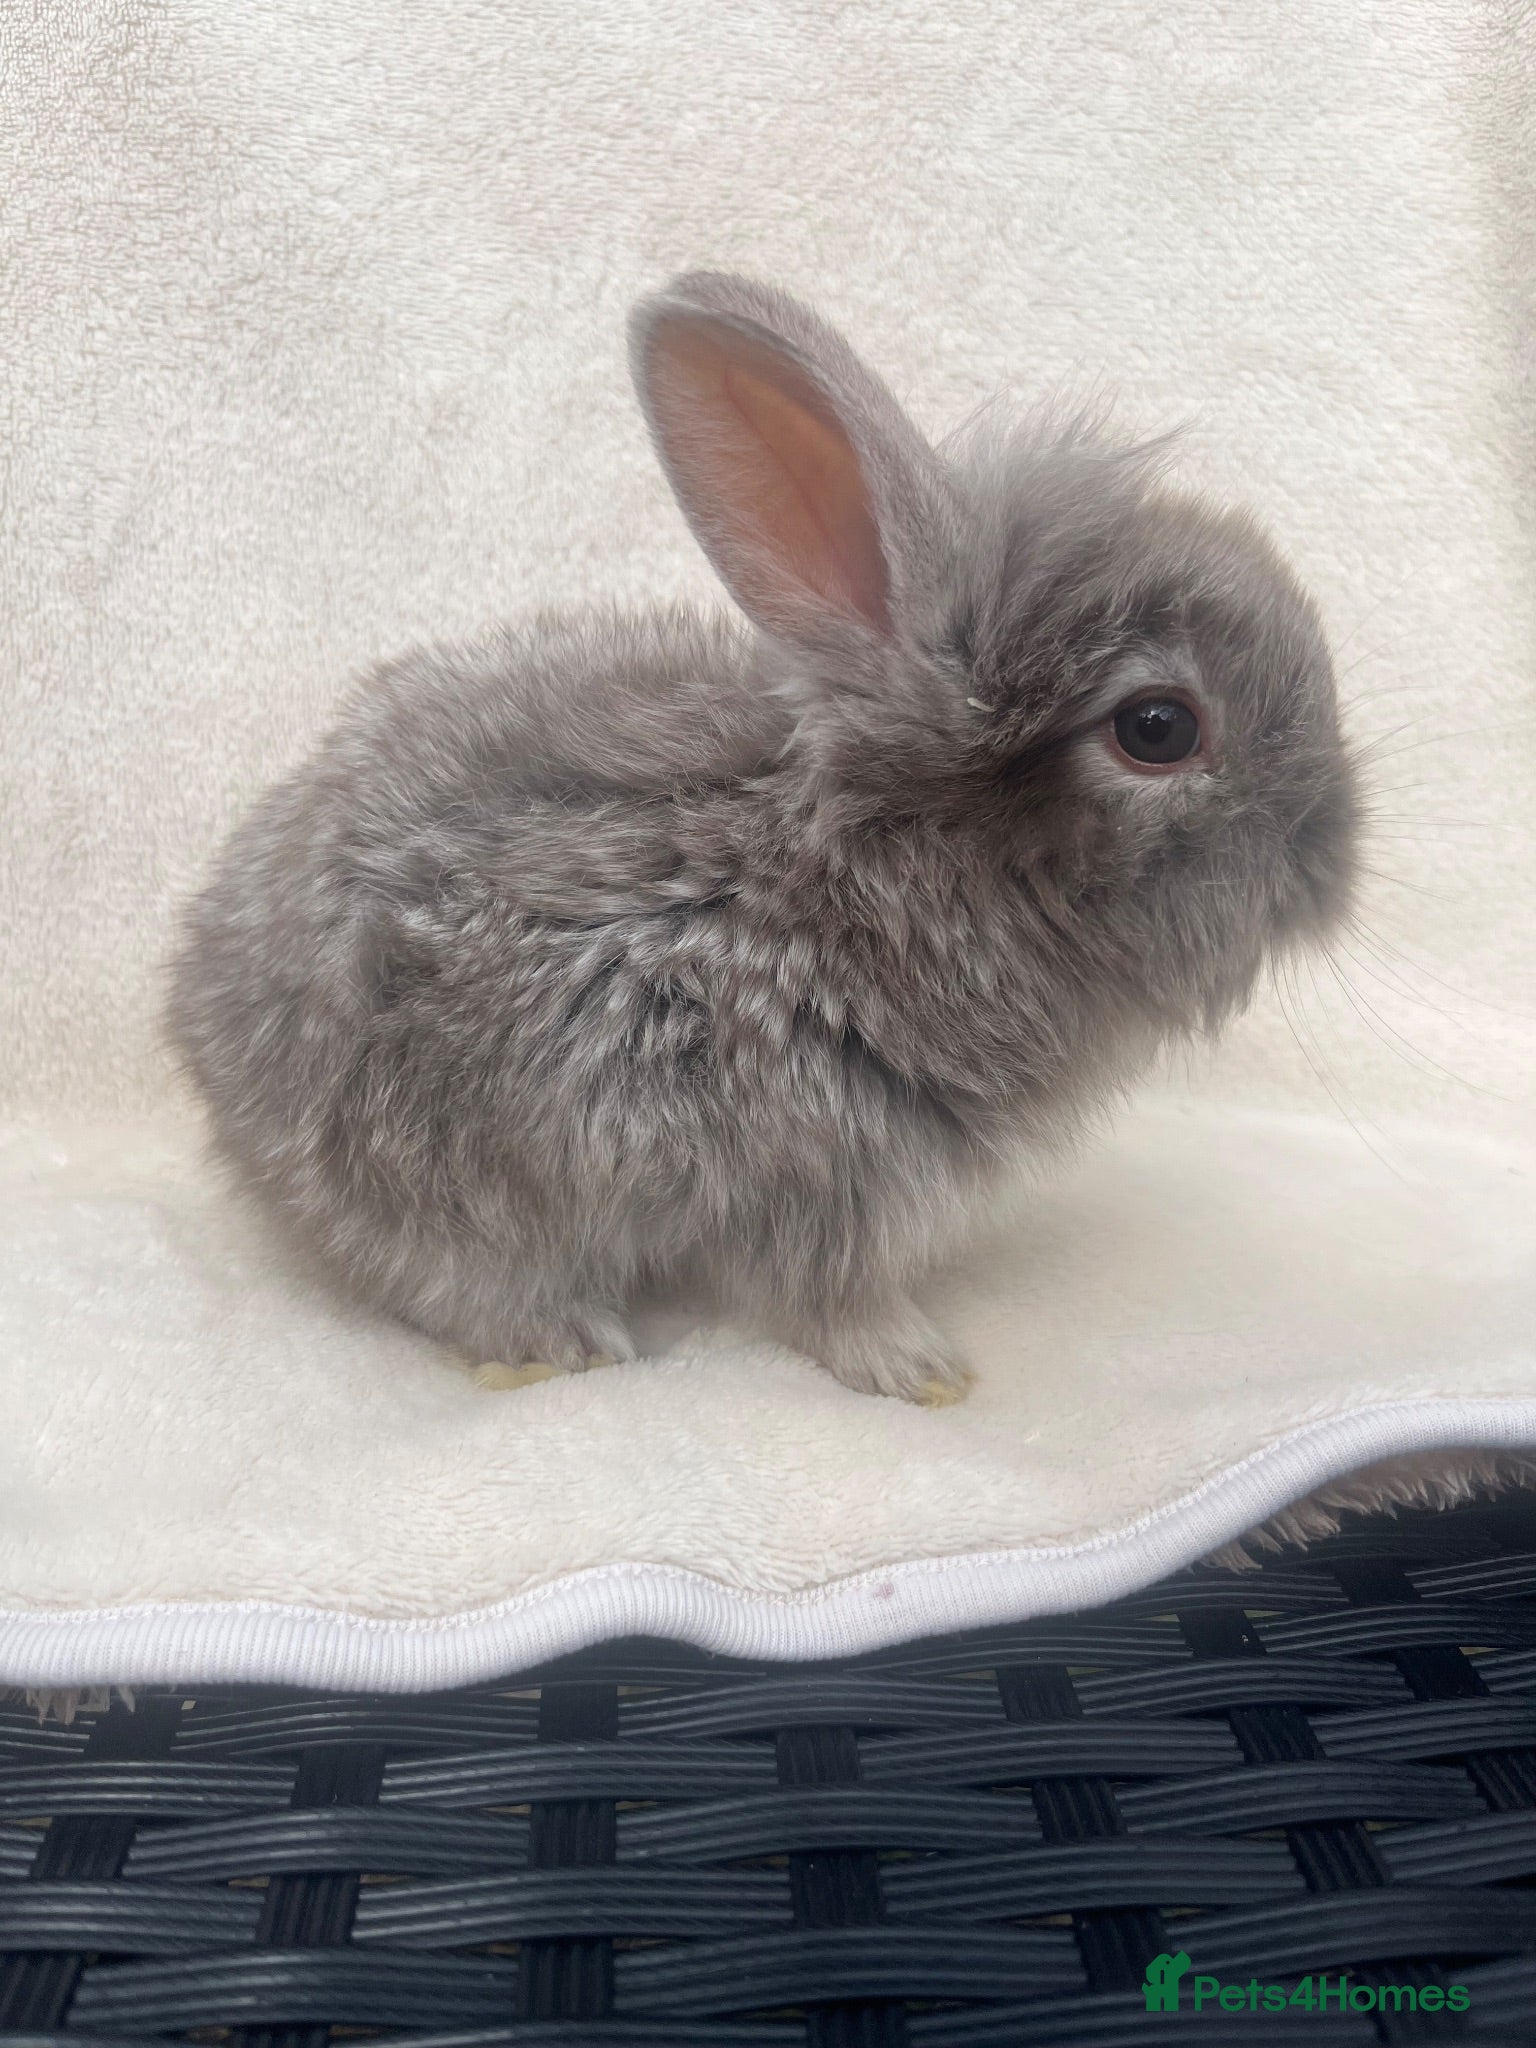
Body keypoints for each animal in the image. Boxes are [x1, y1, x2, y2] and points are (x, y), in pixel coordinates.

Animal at [166, 271, 1359, 1404]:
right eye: (1159, 728)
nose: (1336, 860)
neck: (873, 857)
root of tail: (209, 1047)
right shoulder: (825, 1169)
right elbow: (833, 1297)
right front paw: (923, 1370)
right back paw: (566, 1341)